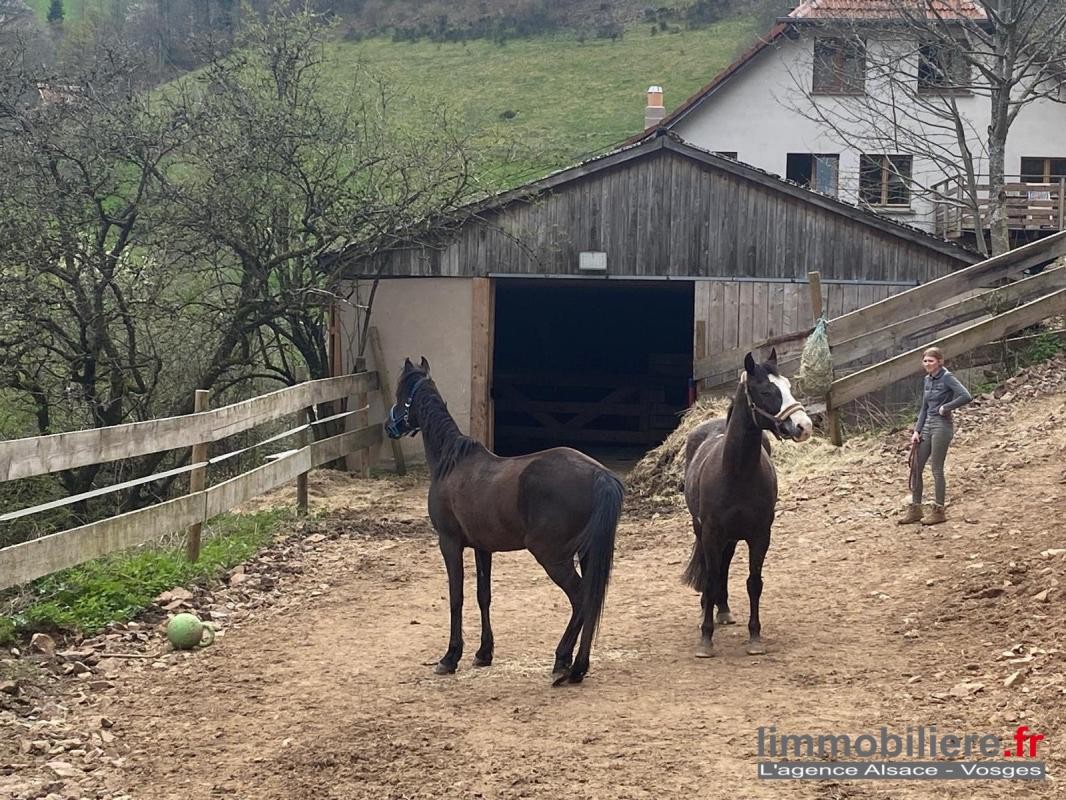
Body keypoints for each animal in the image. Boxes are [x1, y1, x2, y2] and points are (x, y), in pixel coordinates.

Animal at [388, 360, 622, 686]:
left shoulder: (449, 543)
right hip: (587, 553)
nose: (390, 426)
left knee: (580, 599)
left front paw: (450, 657)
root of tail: (599, 474)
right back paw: (578, 668)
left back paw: (563, 661)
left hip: (553, 558)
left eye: (401, 393)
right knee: (590, 599)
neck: (451, 464)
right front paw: (483, 653)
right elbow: (483, 596)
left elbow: (457, 597)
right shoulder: (482, 548)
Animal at [686, 349, 810, 657]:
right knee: (712, 569)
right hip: (704, 531)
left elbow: (754, 583)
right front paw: (706, 639)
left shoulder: (760, 535)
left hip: (730, 537)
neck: (736, 473)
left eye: (788, 386)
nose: (804, 426)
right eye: (766, 391)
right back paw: (708, 610)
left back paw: (723, 610)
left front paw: (754, 637)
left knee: (725, 565)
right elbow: (710, 577)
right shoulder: (711, 533)